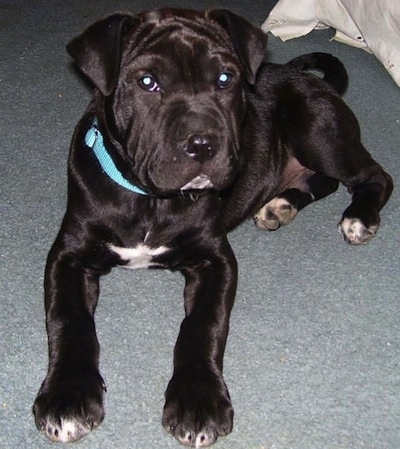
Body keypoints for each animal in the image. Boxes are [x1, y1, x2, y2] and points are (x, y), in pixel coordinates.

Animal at [32, 7, 392, 448]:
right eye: (146, 82)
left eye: (225, 78)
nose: (203, 143)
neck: (151, 200)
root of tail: (303, 75)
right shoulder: (68, 255)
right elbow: (68, 319)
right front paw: (67, 396)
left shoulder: (215, 259)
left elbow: (202, 324)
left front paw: (197, 401)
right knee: (324, 182)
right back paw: (280, 205)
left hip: (317, 131)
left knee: (373, 176)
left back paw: (359, 217)